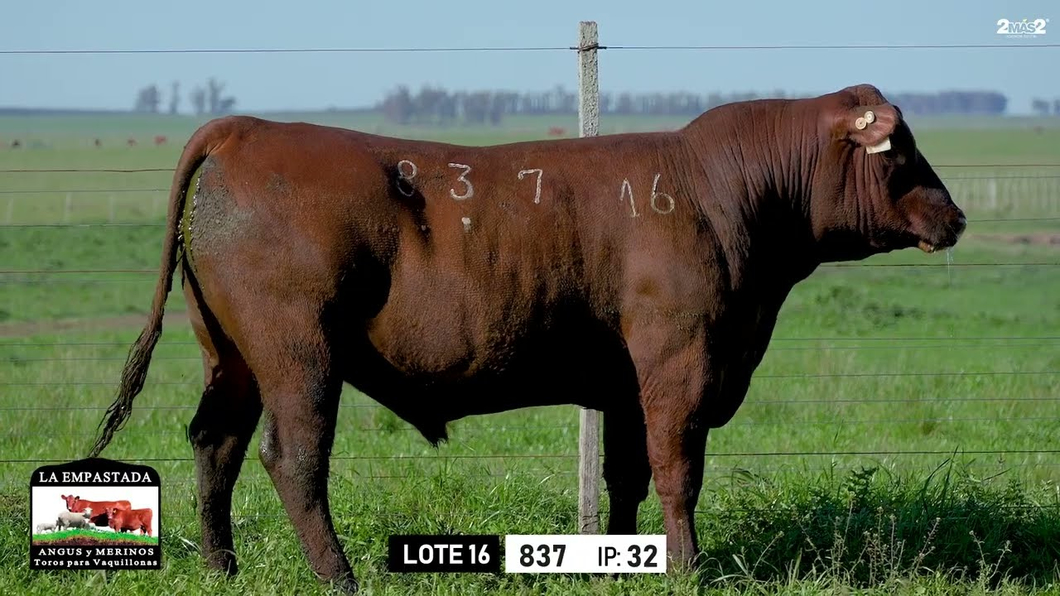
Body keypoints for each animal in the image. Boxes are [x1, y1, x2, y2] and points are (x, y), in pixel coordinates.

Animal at [91, 82, 970, 589]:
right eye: (901, 150)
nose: (955, 216)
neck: (726, 192)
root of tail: (249, 129)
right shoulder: (680, 363)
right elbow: (678, 474)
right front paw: (688, 570)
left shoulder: (625, 383)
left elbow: (627, 478)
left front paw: (621, 563)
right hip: (297, 353)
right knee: (293, 458)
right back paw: (337, 576)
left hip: (231, 355)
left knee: (216, 442)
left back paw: (222, 567)